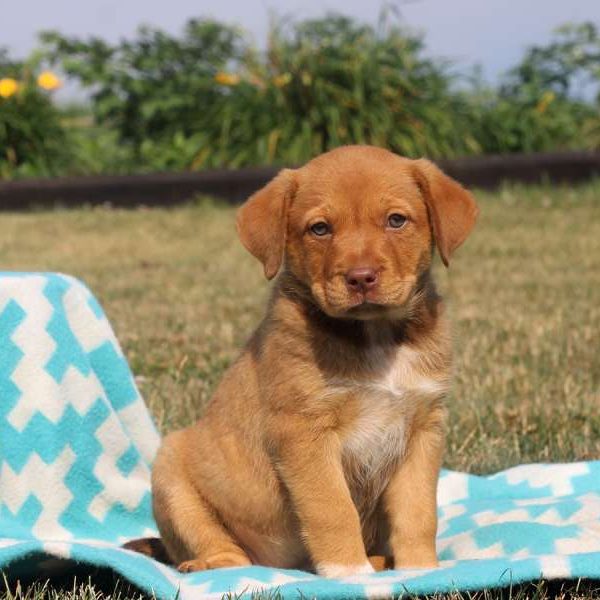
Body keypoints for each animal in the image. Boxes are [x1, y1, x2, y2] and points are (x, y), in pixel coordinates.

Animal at [151, 145, 478, 576]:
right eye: (320, 229)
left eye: (396, 220)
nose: (361, 277)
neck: (373, 336)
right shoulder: (304, 433)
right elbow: (332, 509)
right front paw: (350, 572)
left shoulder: (423, 429)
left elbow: (418, 512)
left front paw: (420, 569)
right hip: (170, 469)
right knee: (225, 552)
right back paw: (206, 566)